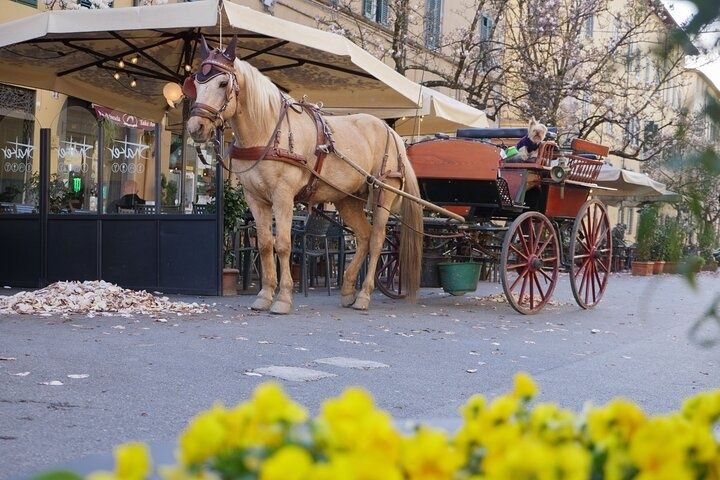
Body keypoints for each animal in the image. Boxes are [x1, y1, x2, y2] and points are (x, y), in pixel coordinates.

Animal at [185, 36, 423, 314]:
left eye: (223, 83)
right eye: (196, 83)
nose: (196, 127)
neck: (267, 130)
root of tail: (392, 132)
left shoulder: (283, 196)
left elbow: (283, 245)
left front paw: (283, 298)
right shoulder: (255, 199)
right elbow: (264, 245)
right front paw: (265, 295)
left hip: (384, 191)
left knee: (376, 240)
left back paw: (364, 295)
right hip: (347, 199)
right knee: (363, 237)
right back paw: (347, 290)